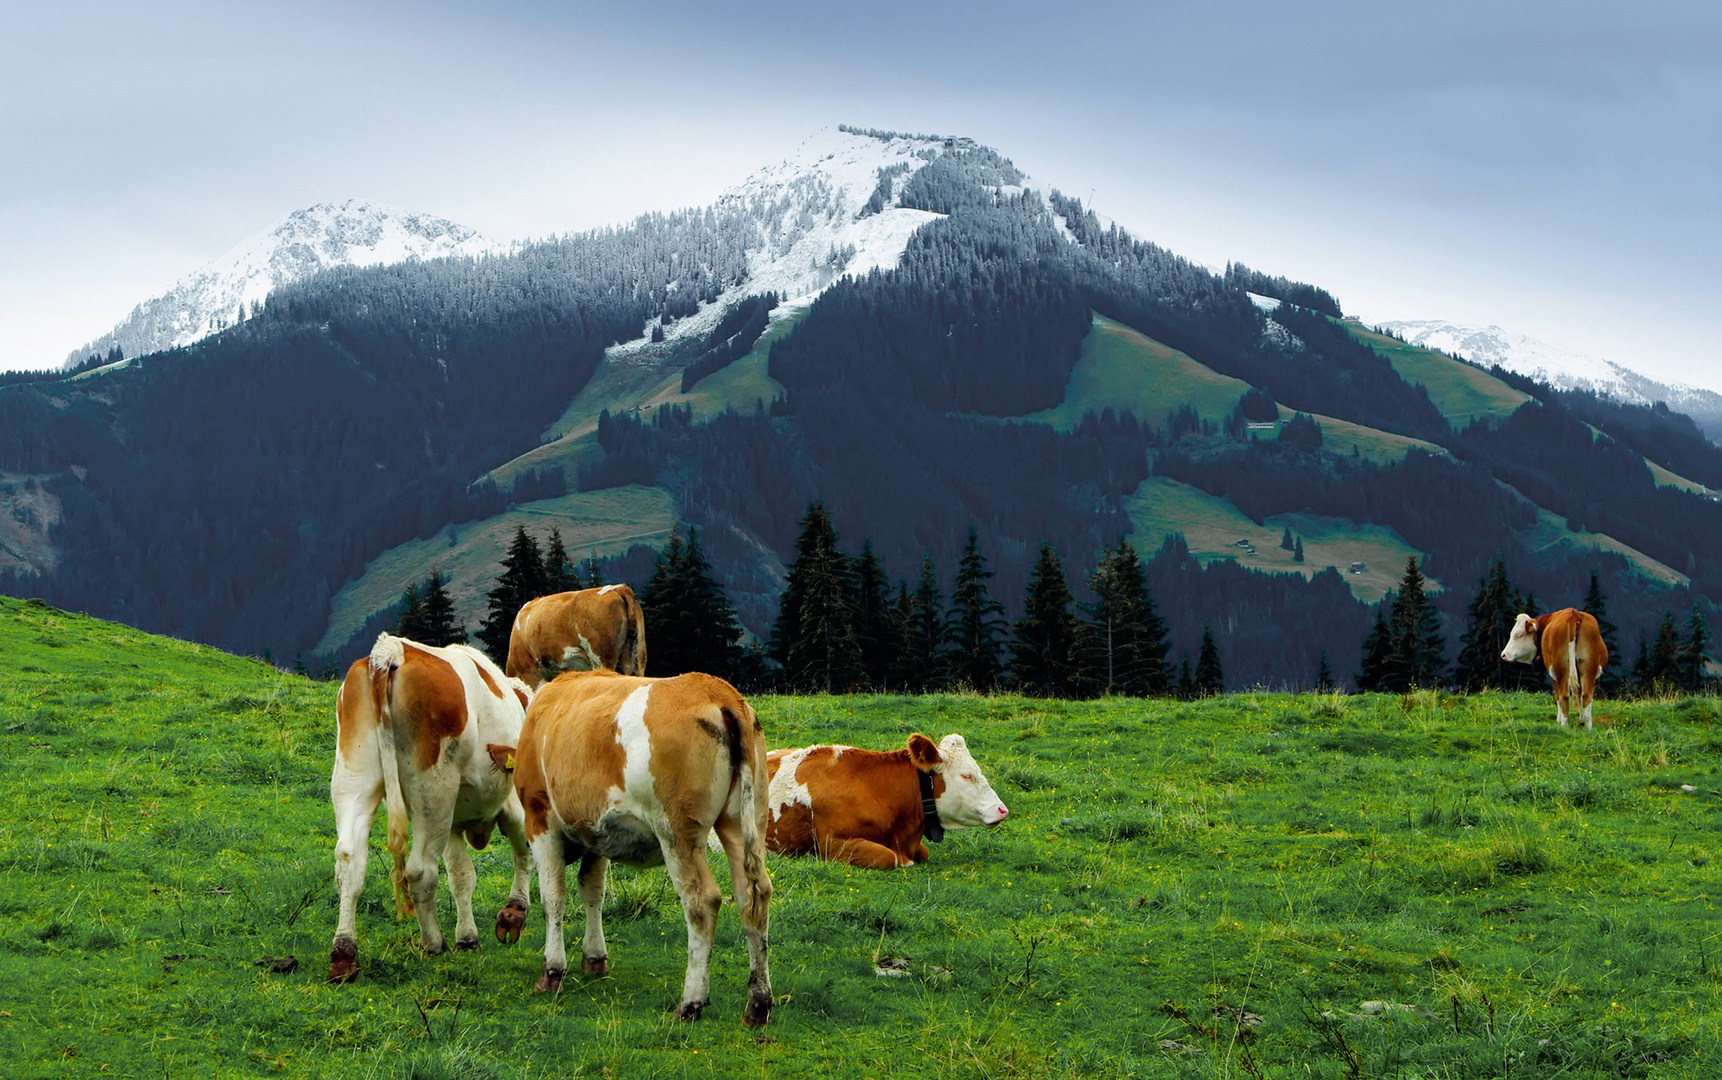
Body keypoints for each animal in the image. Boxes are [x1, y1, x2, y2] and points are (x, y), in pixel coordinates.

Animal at [325, 633, 533, 992]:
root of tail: (391, 649)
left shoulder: (453, 824)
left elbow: (462, 876)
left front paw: (467, 936)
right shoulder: (512, 805)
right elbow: (524, 851)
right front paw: (513, 913)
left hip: (355, 779)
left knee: (350, 861)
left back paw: (344, 953)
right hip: (434, 790)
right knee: (420, 871)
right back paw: (433, 942)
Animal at [506, 668, 771, 1033]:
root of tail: (716, 690)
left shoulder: (540, 817)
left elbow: (553, 897)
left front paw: (552, 970)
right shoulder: (597, 831)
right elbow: (593, 891)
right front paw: (594, 957)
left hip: (677, 832)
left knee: (702, 902)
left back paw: (691, 1002)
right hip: (744, 823)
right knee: (753, 898)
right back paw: (758, 1003)